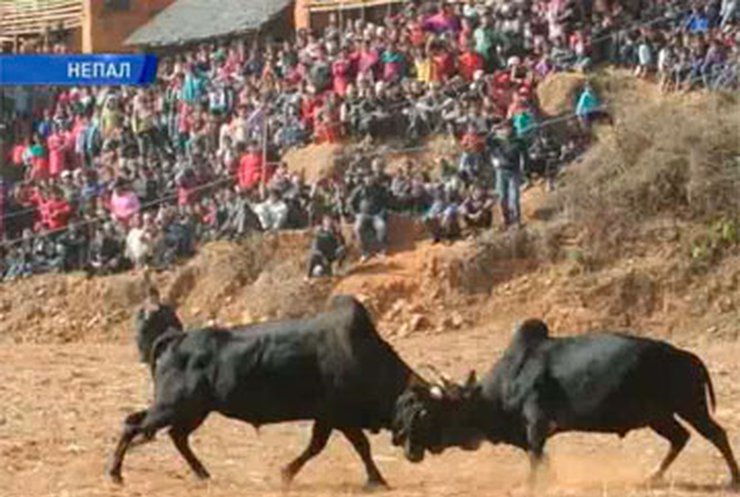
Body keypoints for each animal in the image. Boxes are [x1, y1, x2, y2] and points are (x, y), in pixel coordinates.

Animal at [107, 296, 428, 486]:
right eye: (427, 414)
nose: (421, 453)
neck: (361, 354)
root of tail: (176, 338)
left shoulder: (329, 418)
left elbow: (321, 446)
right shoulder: (338, 416)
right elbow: (354, 446)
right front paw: (377, 480)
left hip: (189, 410)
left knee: (171, 434)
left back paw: (202, 474)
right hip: (173, 406)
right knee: (135, 425)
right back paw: (115, 474)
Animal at [394, 318, 740, 484]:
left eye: (423, 413)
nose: (408, 451)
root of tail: (690, 358)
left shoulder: (536, 423)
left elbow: (536, 458)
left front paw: (533, 486)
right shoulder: (528, 433)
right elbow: (542, 459)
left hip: (690, 406)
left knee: (716, 434)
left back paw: (733, 478)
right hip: (659, 416)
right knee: (680, 438)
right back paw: (652, 477)